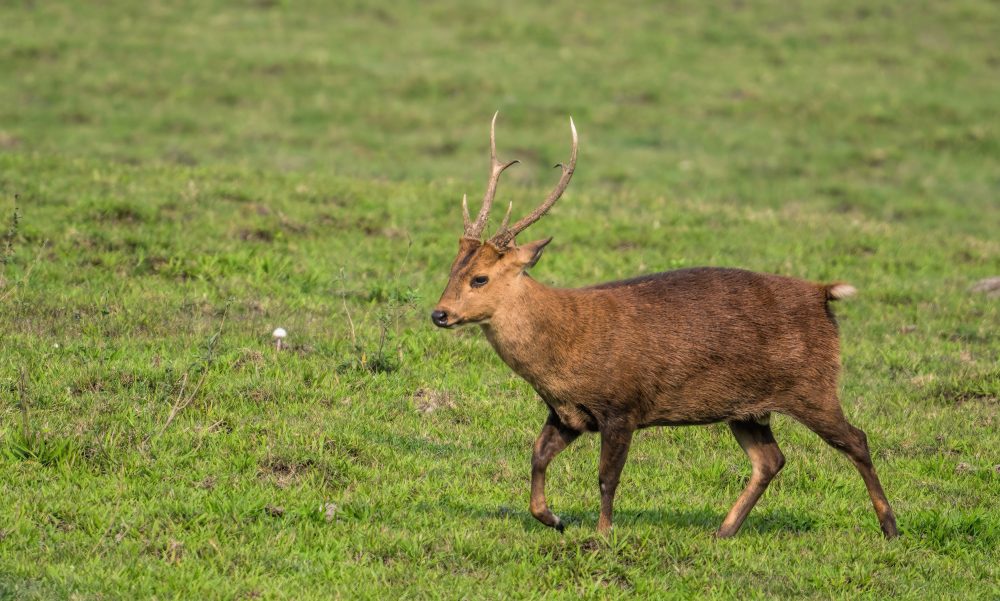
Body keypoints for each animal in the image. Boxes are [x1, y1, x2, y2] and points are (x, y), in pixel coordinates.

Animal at [430, 113, 900, 540]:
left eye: (480, 278)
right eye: (452, 268)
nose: (440, 314)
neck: (566, 348)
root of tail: (822, 293)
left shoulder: (622, 405)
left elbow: (607, 477)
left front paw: (601, 535)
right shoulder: (566, 413)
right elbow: (537, 455)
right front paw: (553, 518)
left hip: (812, 385)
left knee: (856, 439)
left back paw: (890, 526)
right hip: (747, 407)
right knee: (770, 459)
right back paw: (723, 531)